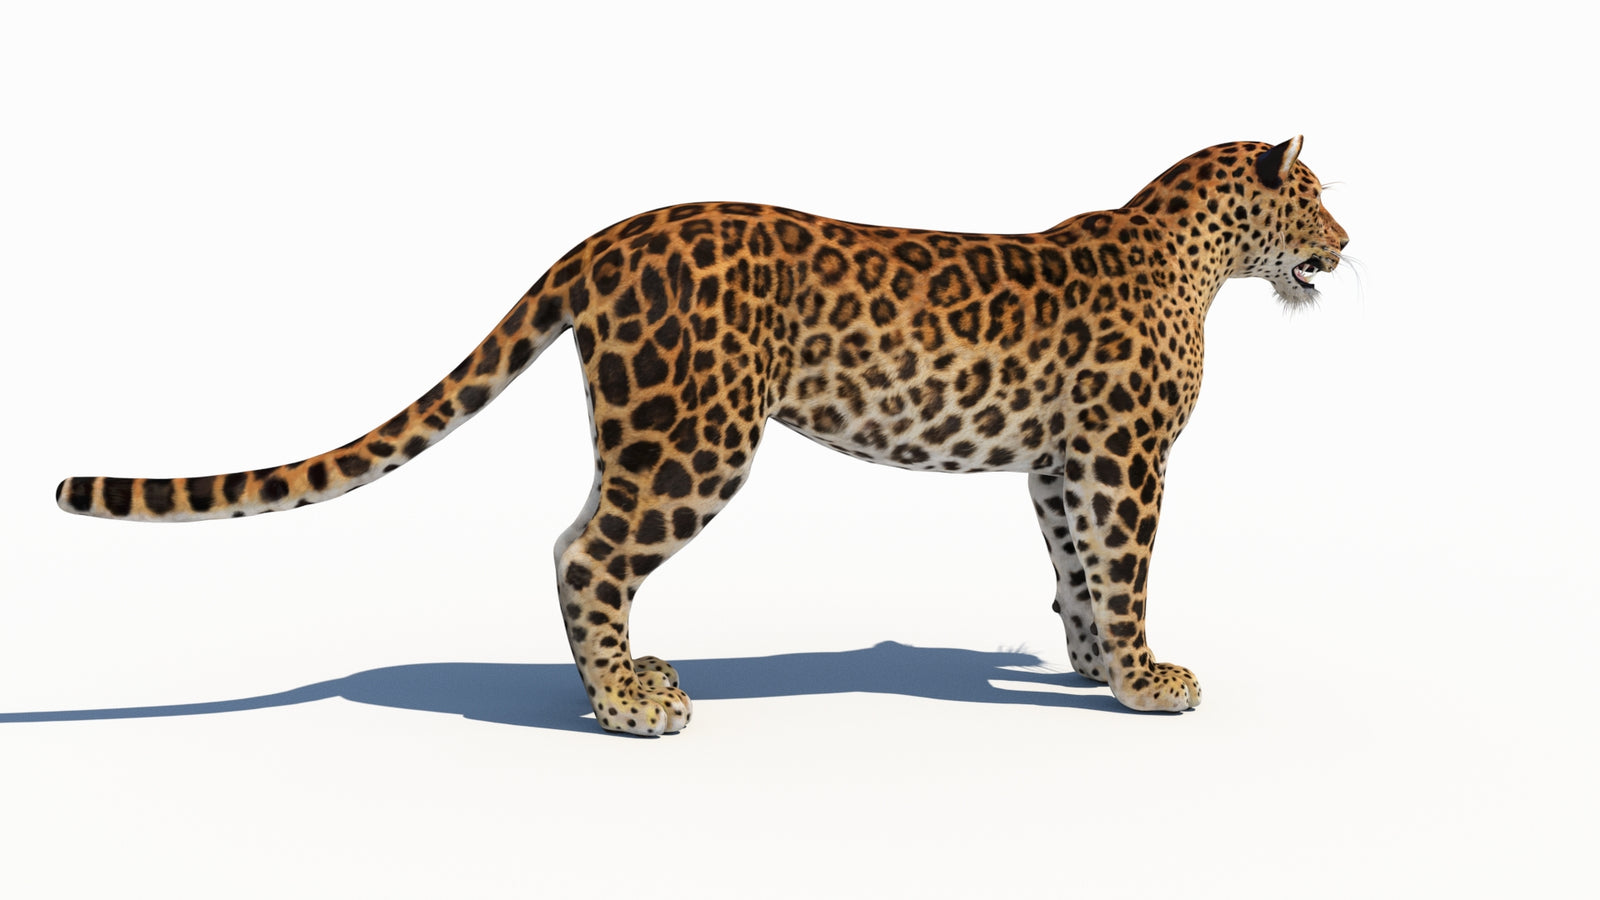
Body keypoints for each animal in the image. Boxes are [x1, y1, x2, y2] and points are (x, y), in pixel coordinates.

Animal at [57, 137, 1348, 736]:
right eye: (1316, 196)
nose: (1346, 241)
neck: (1200, 258)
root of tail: (613, 235)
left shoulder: (1062, 461)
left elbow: (1076, 568)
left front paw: (1087, 665)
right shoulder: (1126, 458)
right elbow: (1123, 569)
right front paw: (1144, 681)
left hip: (644, 428)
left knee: (584, 542)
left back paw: (629, 679)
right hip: (695, 434)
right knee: (585, 550)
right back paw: (630, 707)